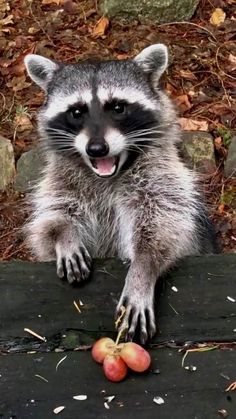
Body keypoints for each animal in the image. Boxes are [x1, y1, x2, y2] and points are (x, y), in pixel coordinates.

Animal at [24, 44, 218, 342]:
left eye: (117, 107)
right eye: (76, 112)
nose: (96, 149)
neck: (107, 177)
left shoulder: (162, 181)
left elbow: (163, 228)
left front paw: (142, 270)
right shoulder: (60, 182)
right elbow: (52, 220)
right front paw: (65, 235)